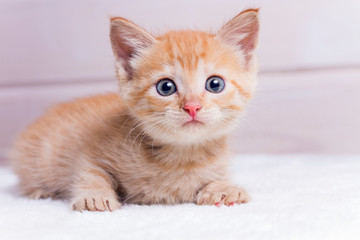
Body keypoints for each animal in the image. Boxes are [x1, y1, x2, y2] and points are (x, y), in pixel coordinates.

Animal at [10, 9, 258, 211]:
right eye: (166, 87)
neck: (182, 155)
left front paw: (225, 189)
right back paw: (40, 191)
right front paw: (94, 197)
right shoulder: (92, 150)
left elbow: (217, 179)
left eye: (215, 84)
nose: (192, 107)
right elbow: (89, 172)